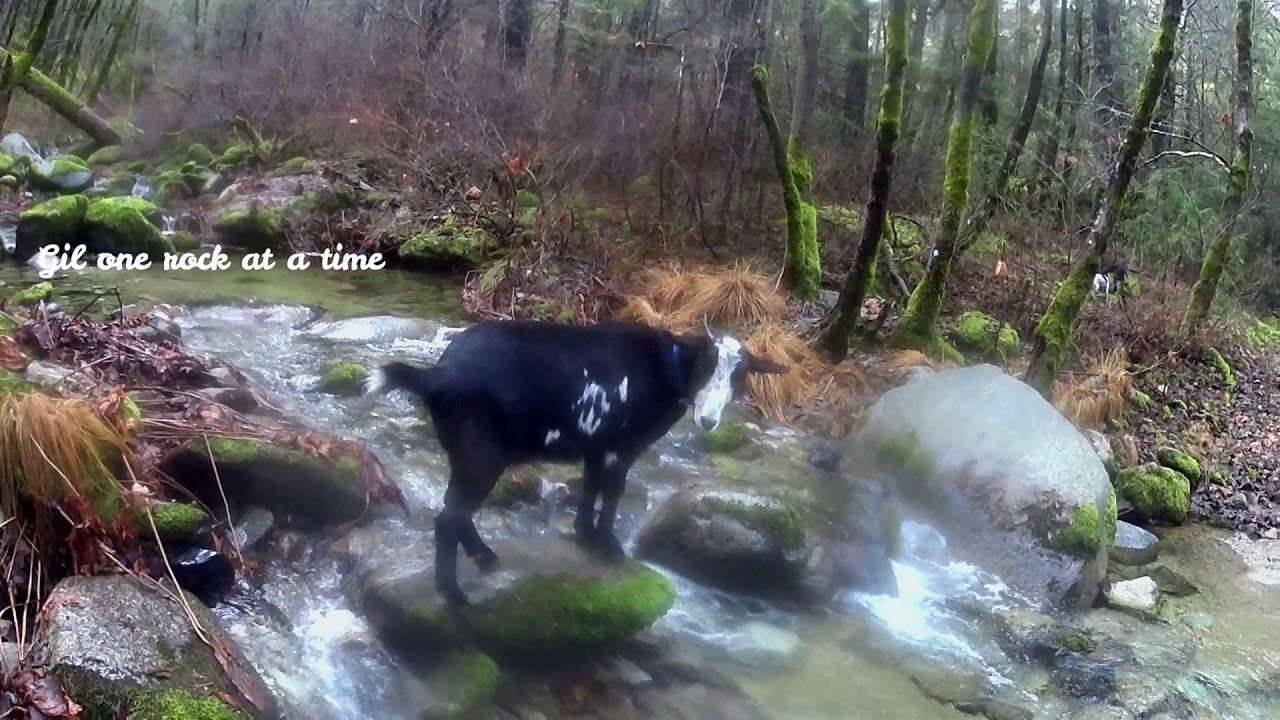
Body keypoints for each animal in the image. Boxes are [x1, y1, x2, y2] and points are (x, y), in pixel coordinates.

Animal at [366, 318, 791, 608]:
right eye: (705, 364)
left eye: (740, 376)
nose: (708, 421)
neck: (665, 369)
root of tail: (442, 372)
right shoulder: (622, 446)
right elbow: (613, 490)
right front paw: (609, 545)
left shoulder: (596, 444)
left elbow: (590, 484)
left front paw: (584, 534)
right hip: (480, 452)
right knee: (449, 517)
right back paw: (453, 594)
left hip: (465, 450)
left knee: (456, 510)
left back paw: (484, 558)